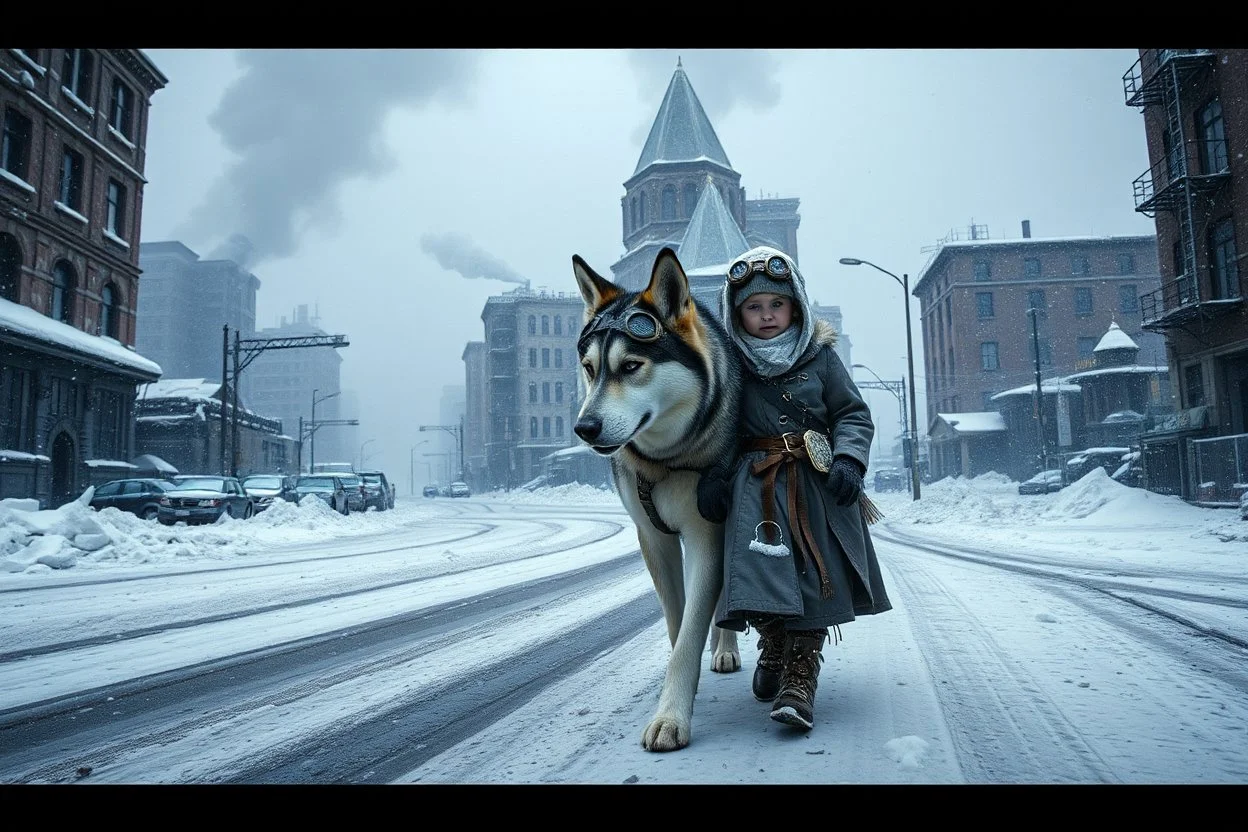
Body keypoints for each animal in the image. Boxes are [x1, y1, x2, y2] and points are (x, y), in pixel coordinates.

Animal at [571, 244, 738, 753]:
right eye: (589, 369)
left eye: (631, 366)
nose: (584, 428)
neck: (664, 461)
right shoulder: (654, 538)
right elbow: (678, 625)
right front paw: (677, 697)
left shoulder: (706, 532)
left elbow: (694, 626)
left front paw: (670, 717)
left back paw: (726, 650)